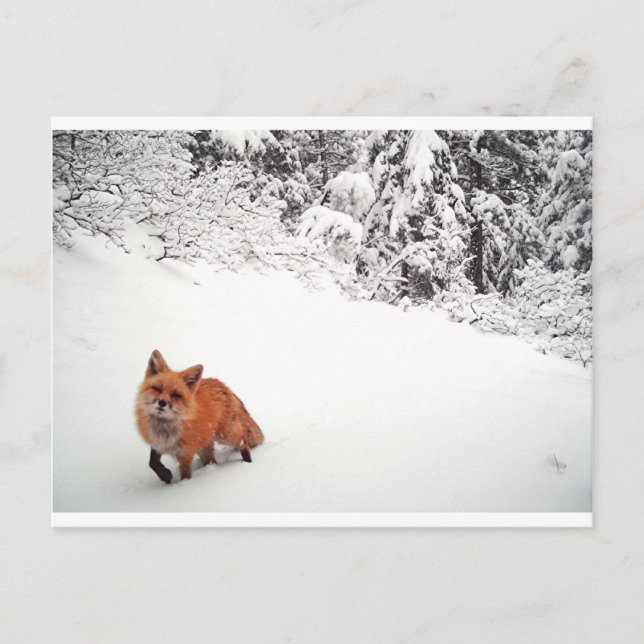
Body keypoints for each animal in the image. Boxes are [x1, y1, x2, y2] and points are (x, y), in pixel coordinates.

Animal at [135, 349, 264, 484]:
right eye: (157, 388)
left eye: (176, 394)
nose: (162, 403)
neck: (164, 429)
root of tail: (223, 385)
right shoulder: (157, 442)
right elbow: (152, 462)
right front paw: (165, 476)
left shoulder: (185, 453)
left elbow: (185, 475)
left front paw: (183, 486)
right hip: (205, 446)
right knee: (212, 461)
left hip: (226, 436)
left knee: (243, 441)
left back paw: (247, 463)